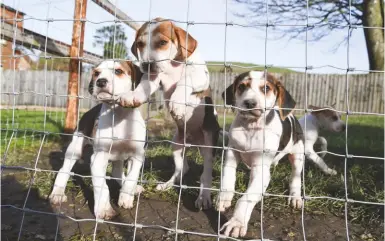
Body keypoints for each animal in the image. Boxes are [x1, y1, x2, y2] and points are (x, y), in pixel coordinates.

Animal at [48, 59, 144, 219]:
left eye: (118, 71)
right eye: (96, 73)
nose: (100, 81)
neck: (119, 116)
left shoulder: (137, 156)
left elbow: (131, 178)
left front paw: (126, 197)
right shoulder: (98, 159)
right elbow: (102, 186)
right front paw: (103, 209)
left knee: (117, 173)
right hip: (74, 149)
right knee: (63, 170)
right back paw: (57, 193)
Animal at [117, 17, 219, 209]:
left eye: (163, 43)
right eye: (140, 44)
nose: (147, 65)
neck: (173, 65)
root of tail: (193, 142)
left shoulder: (200, 75)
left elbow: (186, 80)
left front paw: (177, 101)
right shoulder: (152, 79)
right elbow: (142, 88)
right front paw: (132, 95)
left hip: (209, 144)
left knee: (206, 173)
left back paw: (204, 197)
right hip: (176, 145)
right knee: (182, 169)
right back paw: (167, 185)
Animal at [216, 71, 304, 237]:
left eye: (266, 88)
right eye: (242, 86)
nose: (250, 103)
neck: (251, 127)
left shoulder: (262, 168)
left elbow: (246, 198)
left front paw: (236, 222)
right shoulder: (231, 155)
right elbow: (228, 179)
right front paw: (223, 198)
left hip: (297, 155)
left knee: (295, 177)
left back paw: (295, 197)